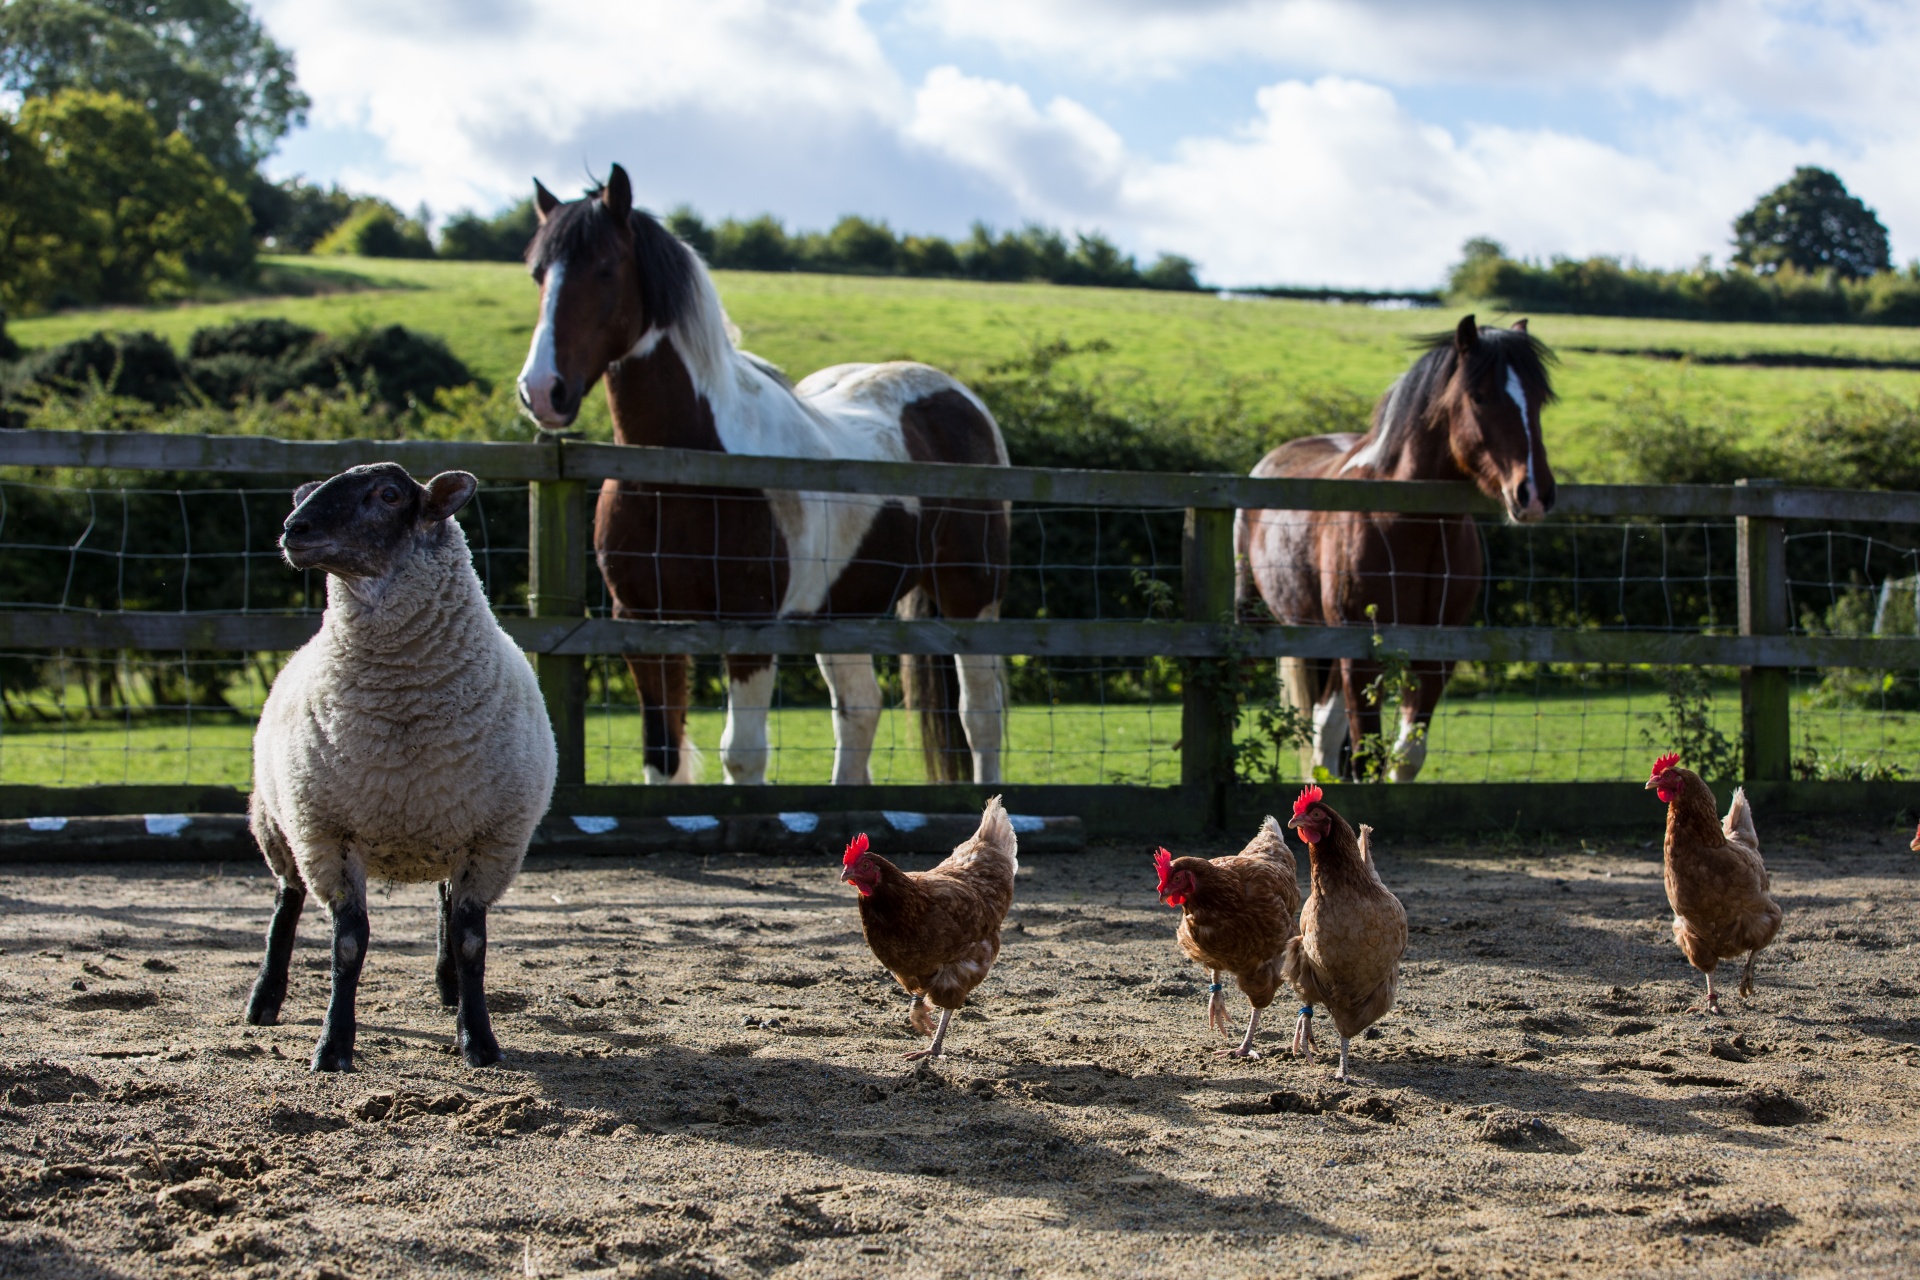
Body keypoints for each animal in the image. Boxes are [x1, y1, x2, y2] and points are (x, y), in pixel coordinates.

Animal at [247, 460, 556, 1074]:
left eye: (389, 495)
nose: (294, 529)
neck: (403, 697)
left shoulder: (492, 840)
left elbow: (470, 942)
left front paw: (478, 1040)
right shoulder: (328, 836)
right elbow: (348, 944)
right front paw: (333, 1046)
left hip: (446, 825)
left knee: (444, 906)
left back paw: (449, 989)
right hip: (277, 823)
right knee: (286, 901)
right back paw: (265, 999)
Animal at [518, 167, 1013, 790]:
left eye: (605, 266)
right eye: (537, 272)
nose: (543, 391)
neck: (682, 469)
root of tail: (962, 401)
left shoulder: (748, 626)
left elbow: (743, 755)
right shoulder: (641, 626)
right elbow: (663, 758)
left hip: (970, 595)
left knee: (980, 716)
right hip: (841, 609)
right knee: (860, 710)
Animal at [1236, 318, 1551, 782]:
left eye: (1539, 397)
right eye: (1479, 395)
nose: (1534, 494)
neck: (1407, 525)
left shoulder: (1436, 656)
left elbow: (1405, 755)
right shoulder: (1361, 656)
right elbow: (1366, 756)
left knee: (1325, 729)